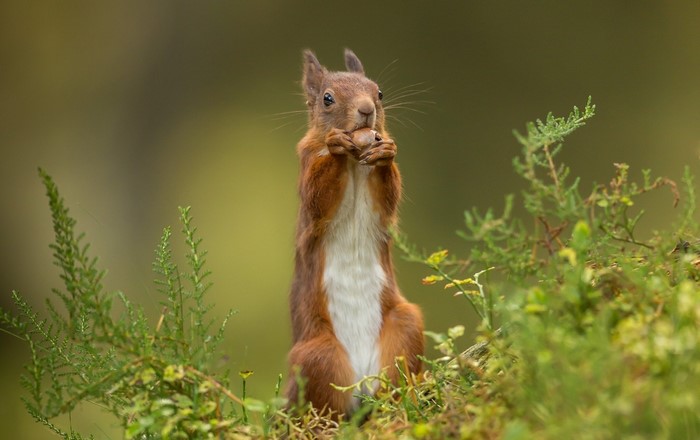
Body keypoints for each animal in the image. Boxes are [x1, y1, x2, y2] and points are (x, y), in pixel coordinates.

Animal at [286, 49, 424, 417]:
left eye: (380, 93)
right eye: (327, 98)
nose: (366, 110)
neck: (354, 160)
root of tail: (361, 382)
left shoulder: (381, 204)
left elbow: (389, 194)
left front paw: (386, 152)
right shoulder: (307, 170)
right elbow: (318, 195)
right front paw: (335, 145)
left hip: (405, 326)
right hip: (317, 355)